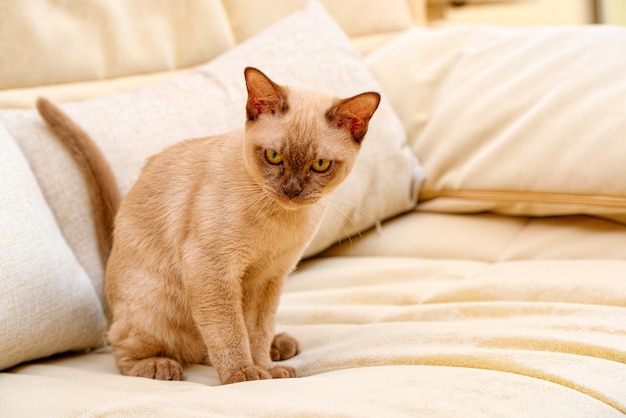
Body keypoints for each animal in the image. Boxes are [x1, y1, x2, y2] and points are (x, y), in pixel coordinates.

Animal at [37, 68, 380, 386]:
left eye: (320, 165)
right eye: (273, 156)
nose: (292, 190)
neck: (278, 219)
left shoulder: (268, 279)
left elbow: (256, 332)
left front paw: (267, 370)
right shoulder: (212, 269)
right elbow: (229, 331)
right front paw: (244, 375)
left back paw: (279, 348)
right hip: (155, 302)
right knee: (125, 348)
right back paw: (159, 366)